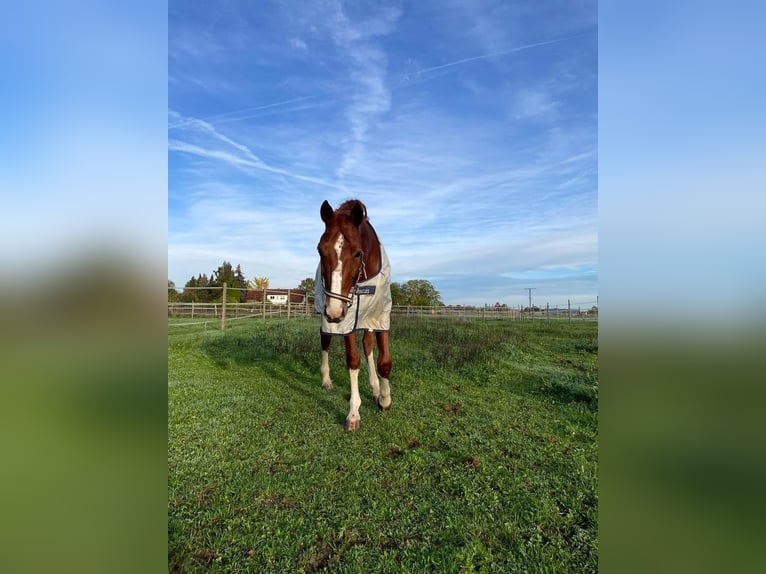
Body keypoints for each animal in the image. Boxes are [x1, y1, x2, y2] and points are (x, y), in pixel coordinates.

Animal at [314, 200, 392, 430]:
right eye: (320, 251)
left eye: (358, 253)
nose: (334, 311)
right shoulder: (348, 319)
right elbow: (353, 360)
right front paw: (354, 413)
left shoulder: (381, 315)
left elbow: (383, 360)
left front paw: (384, 399)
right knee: (325, 340)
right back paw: (326, 380)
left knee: (368, 345)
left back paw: (375, 388)